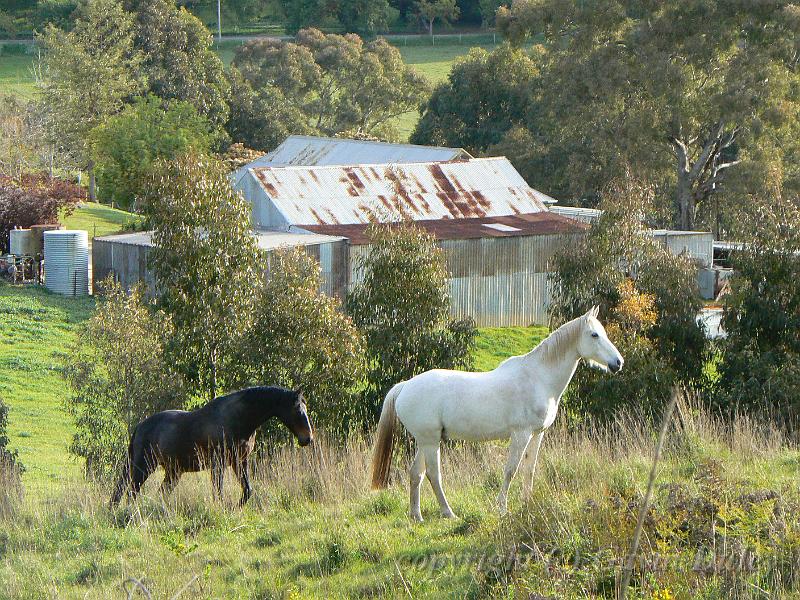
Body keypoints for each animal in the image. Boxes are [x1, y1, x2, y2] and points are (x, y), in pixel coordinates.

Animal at [109, 386, 312, 508]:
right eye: (297, 409)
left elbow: (247, 490)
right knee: (131, 493)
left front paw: (235, 508)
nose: (307, 438)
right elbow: (218, 491)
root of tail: (140, 427)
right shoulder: (219, 463)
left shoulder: (239, 461)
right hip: (143, 467)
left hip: (173, 472)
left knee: (157, 493)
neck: (239, 420)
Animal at [370, 304, 624, 520]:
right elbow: (511, 470)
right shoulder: (521, 434)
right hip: (431, 442)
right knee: (433, 474)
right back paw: (449, 513)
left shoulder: (537, 434)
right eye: (594, 335)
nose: (618, 363)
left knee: (416, 474)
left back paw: (417, 515)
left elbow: (529, 470)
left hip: (425, 441)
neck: (538, 377)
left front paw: (527, 504)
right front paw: (502, 508)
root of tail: (405, 386)